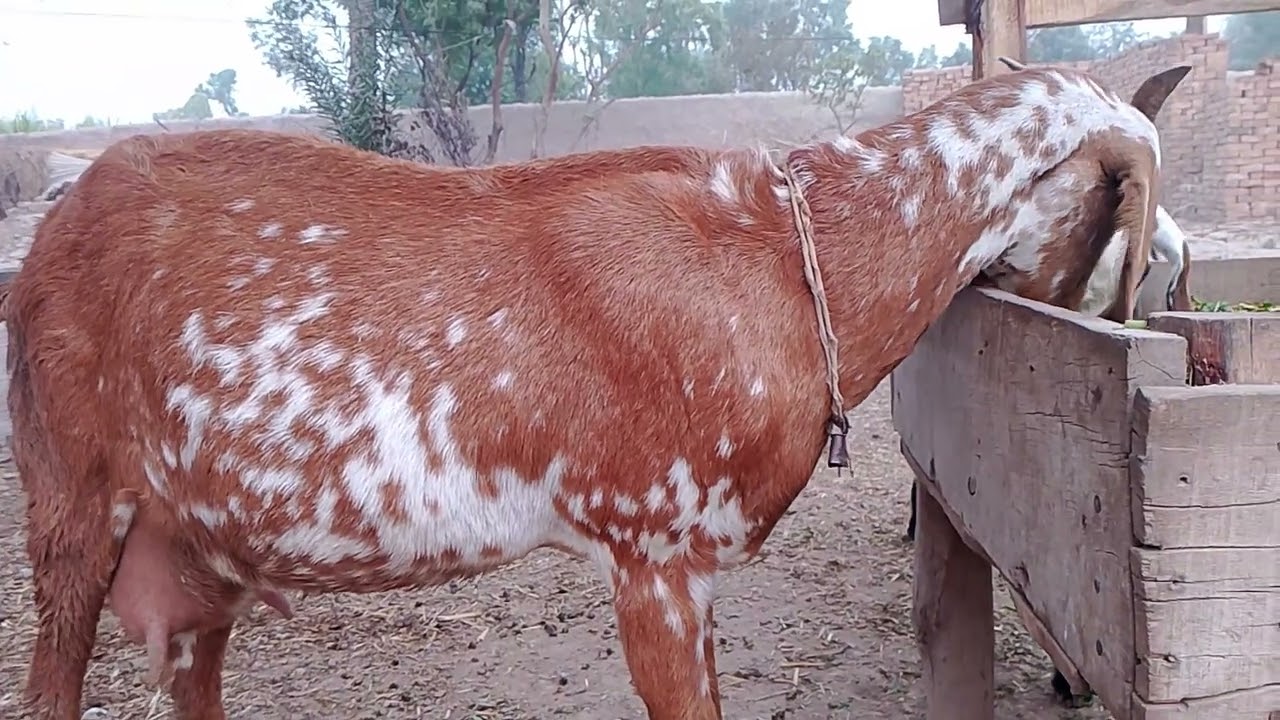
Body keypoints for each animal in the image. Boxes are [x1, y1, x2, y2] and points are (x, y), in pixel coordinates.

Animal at [10, 65, 1181, 720]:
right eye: (1109, 228)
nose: (1048, 306)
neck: (784, 261)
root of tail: (51, 227)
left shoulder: (688, 566)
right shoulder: (649, 547)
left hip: (197, 541)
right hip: (70, 494)